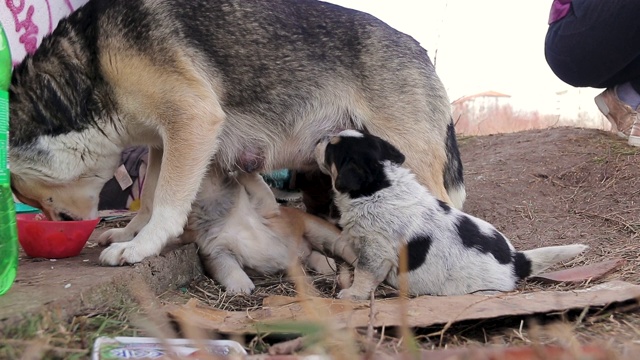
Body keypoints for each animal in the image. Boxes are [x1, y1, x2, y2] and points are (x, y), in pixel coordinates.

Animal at [10, 0, 464, 264]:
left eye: (23, 193)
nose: (51, 223)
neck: (90, 63)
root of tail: (420, 49)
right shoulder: (163, 143)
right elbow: (150, 199)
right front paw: (129, 232)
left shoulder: (193, 120)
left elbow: (169, 203)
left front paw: (140, 247)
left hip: (410, 159)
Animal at [312, 131, 588, 300]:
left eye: (331, 148)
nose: (318, 139)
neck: (380, 186)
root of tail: (517, 261)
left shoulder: (375, 251)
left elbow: (364, 275)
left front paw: (351, 294)